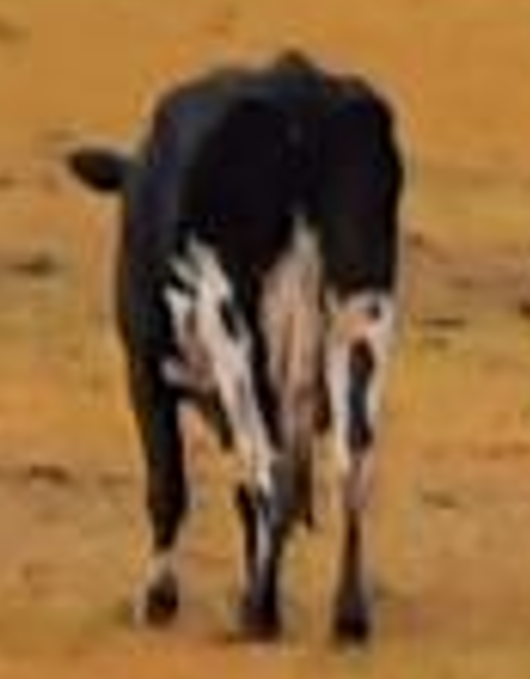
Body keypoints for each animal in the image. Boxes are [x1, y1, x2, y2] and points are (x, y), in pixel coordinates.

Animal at [67, 51, 404, 643]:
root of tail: (299, 98)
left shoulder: (145, 370)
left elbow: (168, 486)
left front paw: (159, 599)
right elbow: (241, 499)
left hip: (236, 333)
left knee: (272, 468)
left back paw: (262, 616)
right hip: (361, 314)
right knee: (350, 464)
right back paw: (347, 618)